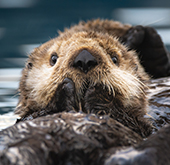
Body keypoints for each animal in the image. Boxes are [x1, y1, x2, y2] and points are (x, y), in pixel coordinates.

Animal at [0, 19, 170, 164]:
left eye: (114, 58)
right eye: (53, 58)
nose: (85, 58)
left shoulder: (141, 127)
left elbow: (136, 123)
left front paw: (101, 92)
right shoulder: (29, 115)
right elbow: (35, 114)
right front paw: (64, 90)